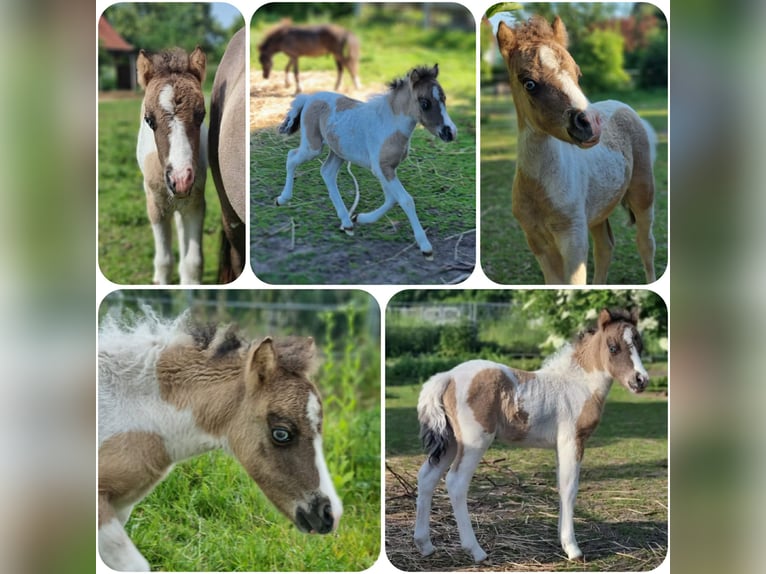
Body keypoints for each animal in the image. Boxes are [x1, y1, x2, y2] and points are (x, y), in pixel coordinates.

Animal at [136, 46, 207, 284]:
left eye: (201, 115)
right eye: (149, 120)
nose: (180, 179)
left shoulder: (195, 204)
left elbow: (193, 264)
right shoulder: (155, 205)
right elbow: (164, 261)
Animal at [275, 64, 457, 259]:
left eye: (444, 98)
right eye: (425, 103)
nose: (450, 132)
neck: (390, 125)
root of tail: (309, 98)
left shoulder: (385, 170)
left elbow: (391, 199)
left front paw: (361, 218)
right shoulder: (383, 169)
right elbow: (405, 200)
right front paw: (425, 246)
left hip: (339, 151)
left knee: (327, 172)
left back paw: (347, 222)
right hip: (312, 147)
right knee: (291, 157)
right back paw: (283, 199)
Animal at [413, 308, 650, 563]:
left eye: (640, 344)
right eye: (613, 347)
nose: (641, 380)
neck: (579, 384)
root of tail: (447, 376)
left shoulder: (560, 445)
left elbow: (561, 485)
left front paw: (562, 540)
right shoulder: (572, 440)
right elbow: (570, 487)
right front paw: (573, 548)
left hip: (451, 442)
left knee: (427, 477)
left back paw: (425, 545)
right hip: (474, 441)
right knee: (456, 482)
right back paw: (476, 551)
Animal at [496, 16, 657, 285]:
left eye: (577, 73)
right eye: (529, 83)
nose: (590, 123)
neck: (542, 188)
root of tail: (622, 106)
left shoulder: (573, 240)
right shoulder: (537, 242)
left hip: (643, 194)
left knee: (645, 244)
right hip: (598, 210)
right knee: (605, 247)